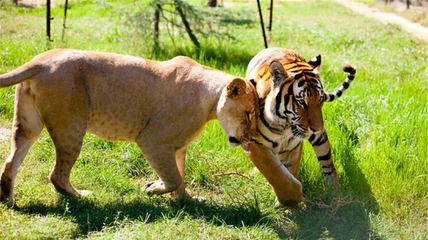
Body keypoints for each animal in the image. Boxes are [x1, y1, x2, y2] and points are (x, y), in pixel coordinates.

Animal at [246, 47, 356, 189]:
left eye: (321, 100)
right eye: (302, 102)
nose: (317, 129)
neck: (282, 125)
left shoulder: (293, 147)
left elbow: (289, 175)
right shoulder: (254, 145)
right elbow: (274, 172)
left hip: (320, 142)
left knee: (328, 166)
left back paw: (336, 191)